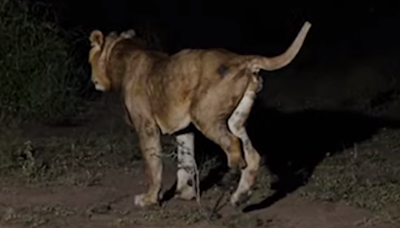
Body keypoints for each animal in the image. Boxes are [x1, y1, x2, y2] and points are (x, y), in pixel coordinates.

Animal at [88, 21, 312, 208]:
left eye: (90, 61)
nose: (92, 80)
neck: (126, 53)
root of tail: (243, 59)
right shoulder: (184, 130)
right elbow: (185, 162)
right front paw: (185, 193)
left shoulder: (146, 127)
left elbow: (153, 166)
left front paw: (149, 199)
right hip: (235, 120)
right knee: (253, 155)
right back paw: (240, 196)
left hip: (204, 115)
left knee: (233, 146)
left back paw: (232, 175)